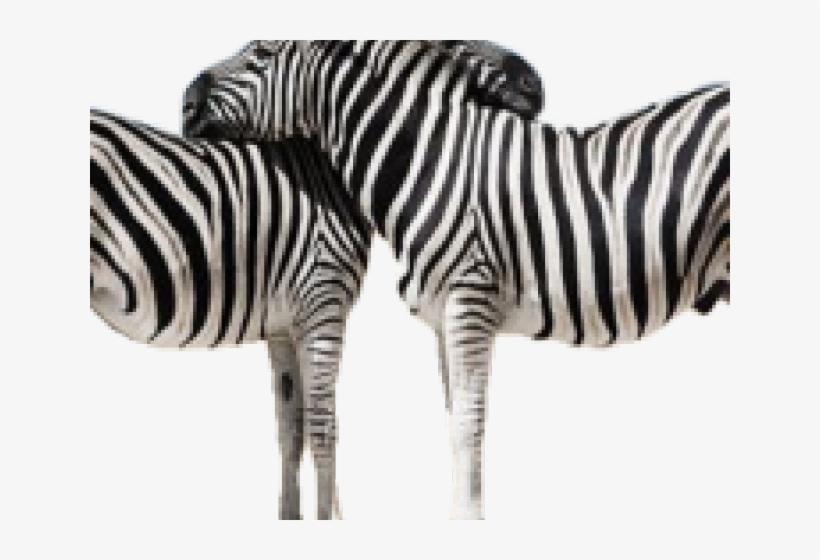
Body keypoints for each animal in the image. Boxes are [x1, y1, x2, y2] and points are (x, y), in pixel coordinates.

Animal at [90, 42, 545, 520]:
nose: (535, 85)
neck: (327, 174)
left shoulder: (282, 325)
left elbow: (291, 429)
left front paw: (291, 517)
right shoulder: (322, 303)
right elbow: (324, 429)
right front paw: (328, 519)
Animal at [182, 40, 730, 519]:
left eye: (261, 53)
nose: (186, 102)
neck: (427, 162)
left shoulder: (470, 301)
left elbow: (469, 426)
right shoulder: (447, 316)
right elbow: (454, 423)